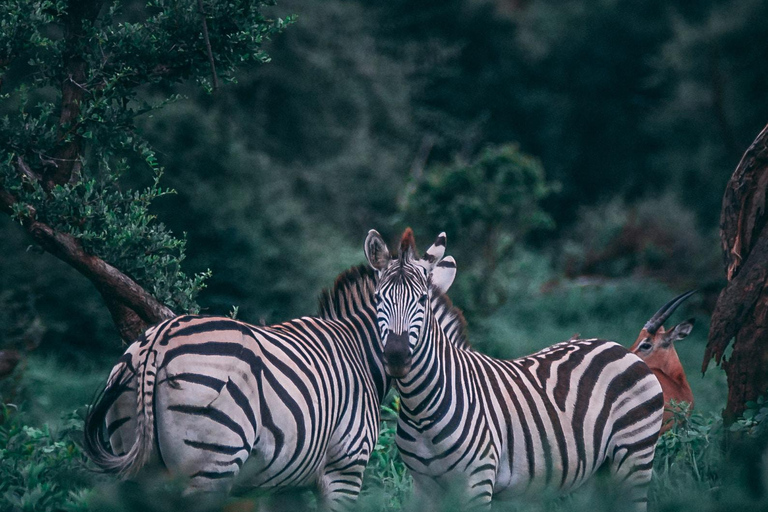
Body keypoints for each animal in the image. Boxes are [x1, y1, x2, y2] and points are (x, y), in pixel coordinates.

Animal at [87, 262, 464, 510]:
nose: (397, 356)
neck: (359, 351)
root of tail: (158, 339)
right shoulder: (345, 467)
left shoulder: (287, 482)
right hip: (210, 465)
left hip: (137, 462)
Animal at [364, 230, 664, 510]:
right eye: (377, 298)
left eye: (422, 299)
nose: (396, 357)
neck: (422, 409)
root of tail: (618, 347)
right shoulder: (424, 487)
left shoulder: (478, 482)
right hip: (596, 473)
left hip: (635, 457)